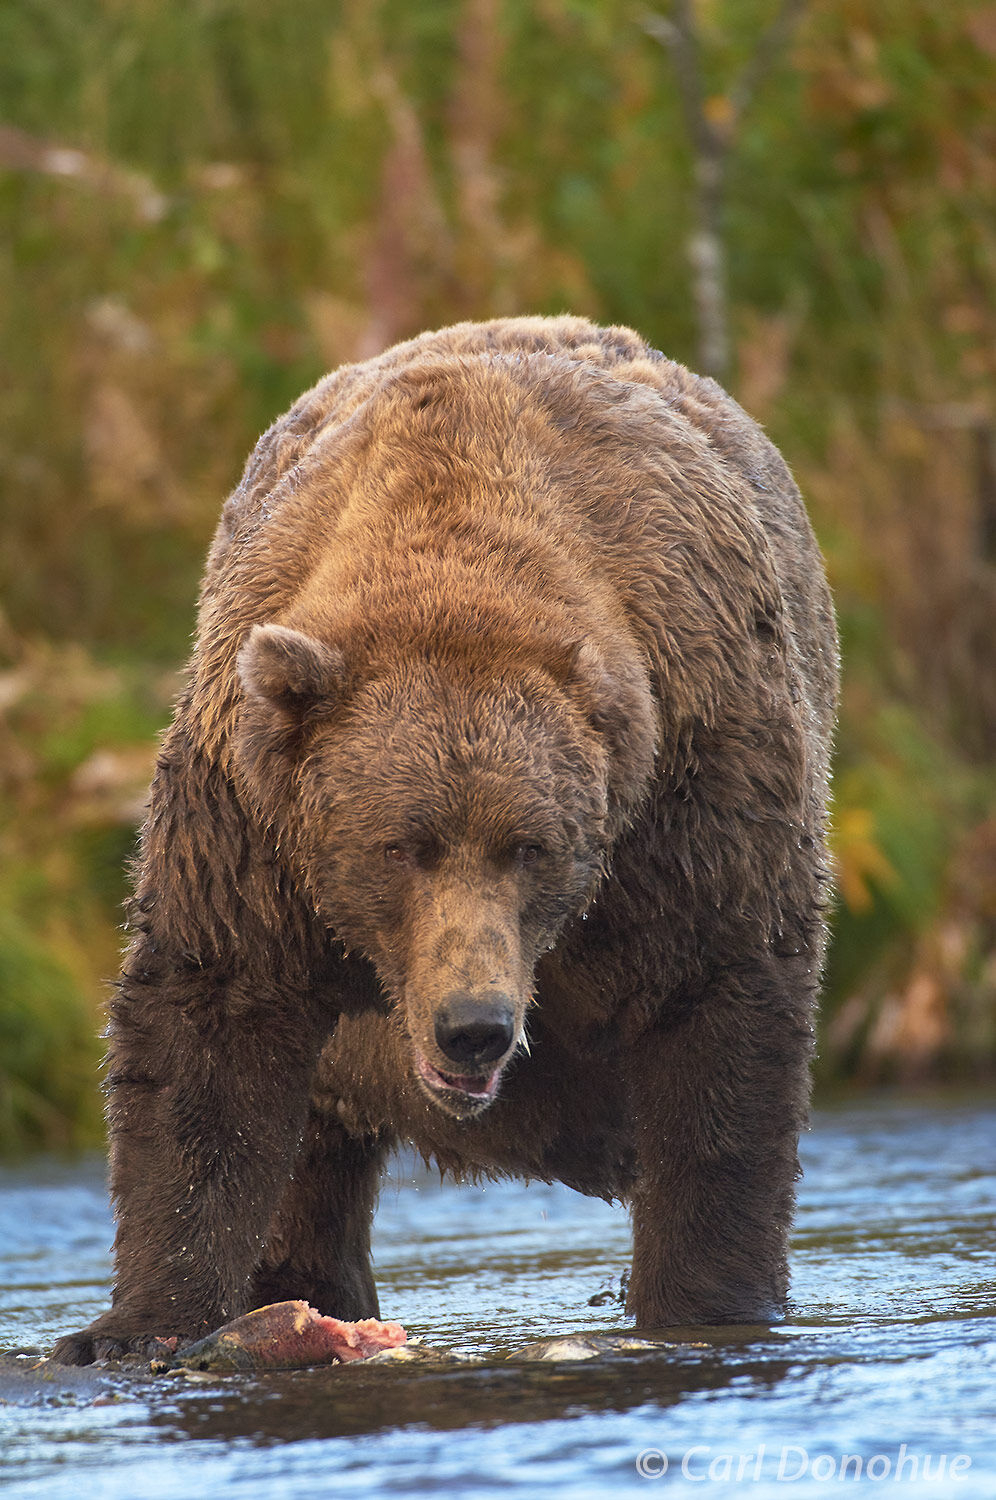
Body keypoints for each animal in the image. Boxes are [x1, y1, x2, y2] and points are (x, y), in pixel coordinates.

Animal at [50, 319, 834, 1374]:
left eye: (529, 847)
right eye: (402, 847)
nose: (474, 1025)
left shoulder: (692, 790)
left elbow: (718, 1017)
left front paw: (707, 1300)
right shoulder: (251, 828)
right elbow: (207, 1041)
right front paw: (133, 1325)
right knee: (314, 1167)